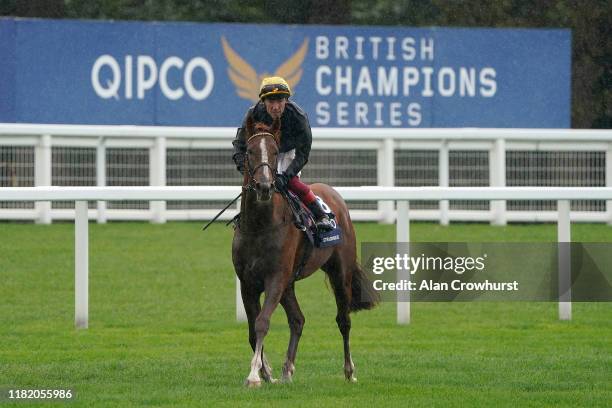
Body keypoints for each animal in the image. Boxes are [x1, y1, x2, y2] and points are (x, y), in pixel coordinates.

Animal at [232, 115, 378, 386]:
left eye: (275, 151)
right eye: (250, 151)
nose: (265, 186)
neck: (260, 225)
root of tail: (334, 195)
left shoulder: (275, 278)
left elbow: (262, 323)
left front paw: (254, 375)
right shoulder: (248, 283)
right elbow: (252, 330)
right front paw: (266, 372)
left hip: (339, 273)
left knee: (344, 320)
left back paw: (349, 370)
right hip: (290, 283)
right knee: (298, 320)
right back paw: (287, 369)